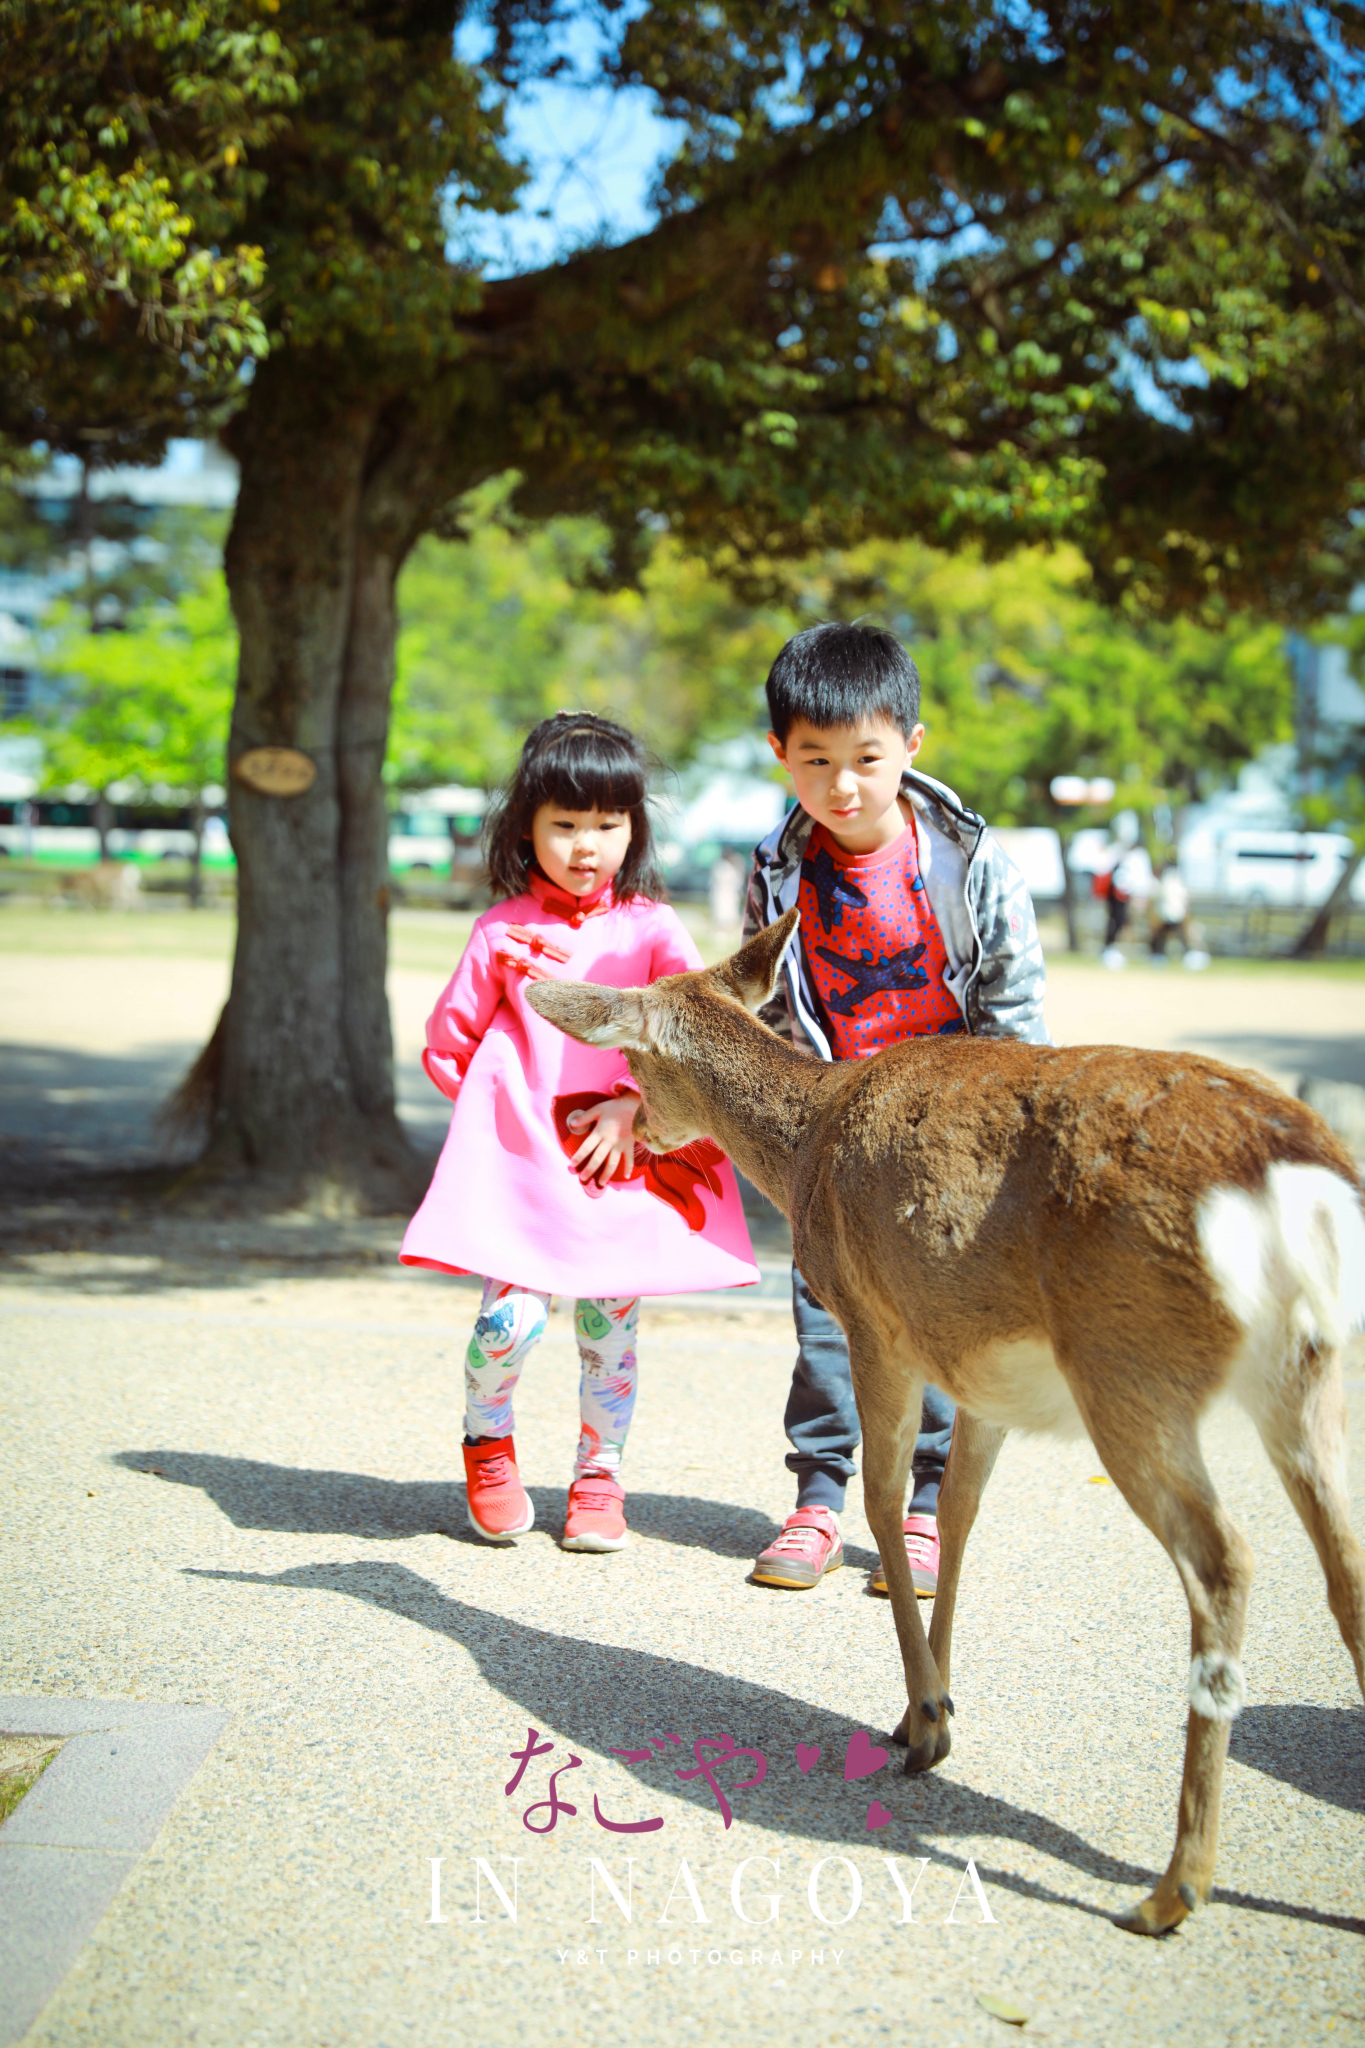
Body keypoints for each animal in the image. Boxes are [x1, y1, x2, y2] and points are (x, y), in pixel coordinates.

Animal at [527, 913, 1365, 1933]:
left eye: (633, 1064)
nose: (636, 1125)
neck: (807, 1144)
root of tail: (1294, 1185)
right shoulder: (976, 1365)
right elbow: (959, 1518)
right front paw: (929, 1702)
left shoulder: (875, 1321)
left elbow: (887, 1502)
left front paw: (925, 1725)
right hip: (1302, 1371)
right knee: (1345, 1566)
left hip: (1129, 1365)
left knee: (1224, 1561)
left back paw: (1173, 1887)